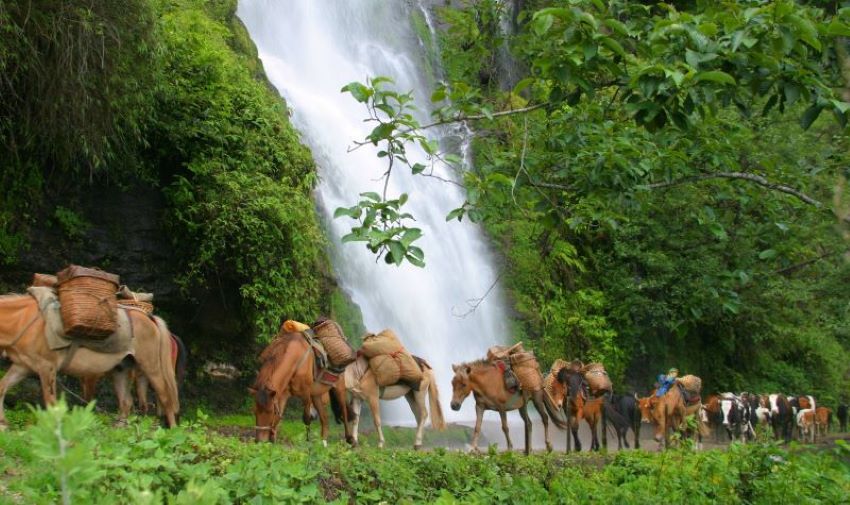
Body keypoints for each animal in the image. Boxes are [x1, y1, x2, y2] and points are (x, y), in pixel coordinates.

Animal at [0, 293, 180, 428]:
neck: (23, 320)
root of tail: (149, 318)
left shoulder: (47, 368)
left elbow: (51, 403)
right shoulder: (22, 366)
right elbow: (2, 387)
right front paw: (3, 423)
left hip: (151, 367)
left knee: (165, 397)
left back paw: (172, 431)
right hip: (121, 369)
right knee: (126, 402)